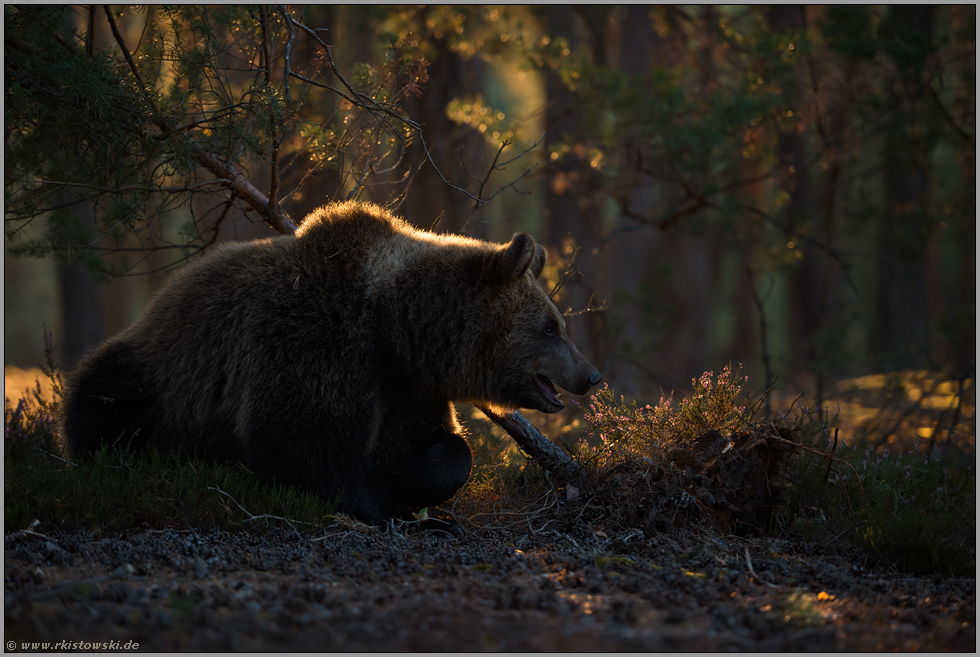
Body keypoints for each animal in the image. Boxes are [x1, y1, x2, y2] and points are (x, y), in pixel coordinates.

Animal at [61, 200, 600, 528]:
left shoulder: (407, 388)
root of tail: (165, 293)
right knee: (103, 400)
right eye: (550, 327)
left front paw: (409, 481)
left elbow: (444, 447)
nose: (590, 375)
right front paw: (400, 512)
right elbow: (304, 440)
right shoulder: (319, 343)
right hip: (157, 372)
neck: (397, 329)